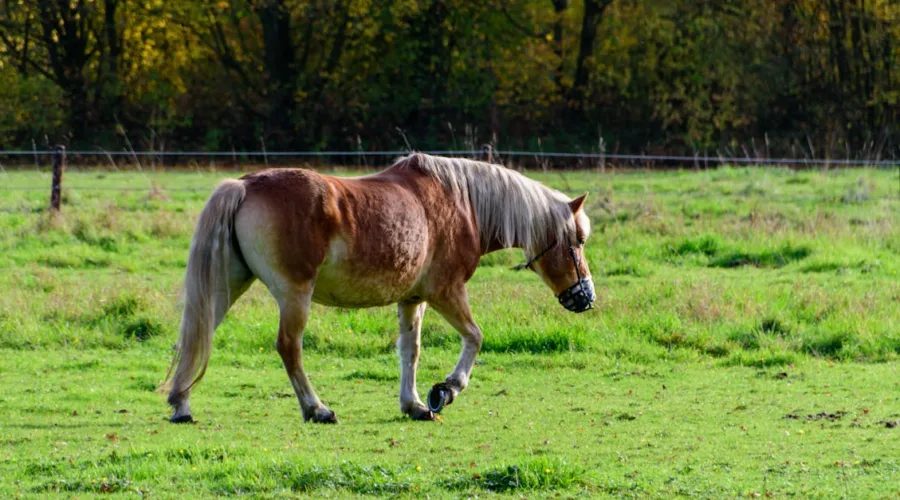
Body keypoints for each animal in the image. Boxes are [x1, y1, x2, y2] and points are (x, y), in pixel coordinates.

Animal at [163, 153, 595, 424]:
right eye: (577, 241)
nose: (586, 297)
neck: (462, 204)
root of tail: (245, 185)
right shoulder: (446, 292)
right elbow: (474, 337)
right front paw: (447, 390)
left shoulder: (412, 299)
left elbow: (410, 351)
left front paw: (415, 404)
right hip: (294, 295)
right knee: (289, 348)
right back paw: (317, 409)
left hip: (228, 286)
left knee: (197, 335)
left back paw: (181, 404)